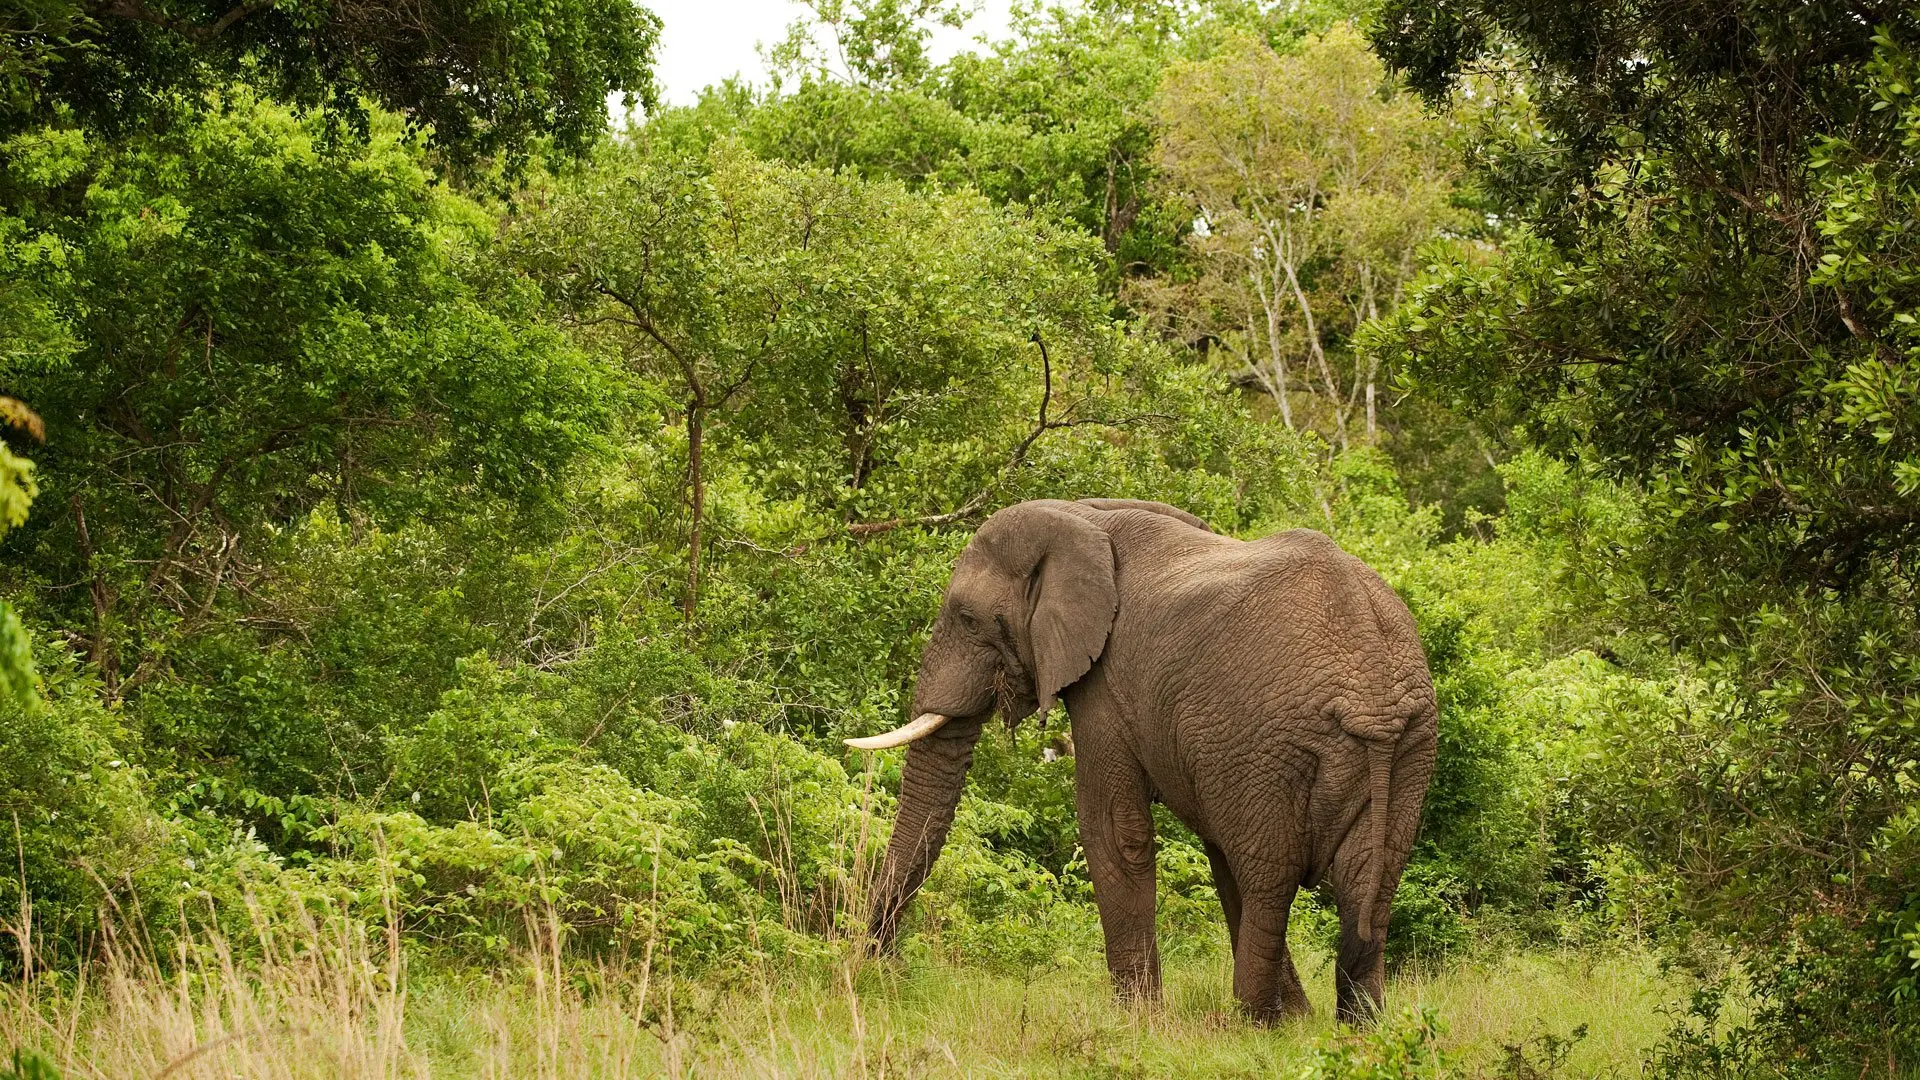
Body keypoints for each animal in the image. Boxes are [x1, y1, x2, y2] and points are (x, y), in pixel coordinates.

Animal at [846, 498, 1437, 1024]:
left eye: (968, 619)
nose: (882, 965)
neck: (1081, 515)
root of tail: (1372, 684)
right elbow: (1210, 848)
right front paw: (1293, 1018)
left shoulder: (1104, 685)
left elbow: (1112, 829)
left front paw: (1135, 1021)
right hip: (1405, 748)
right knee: (1367, 880)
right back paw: (1356, 1027)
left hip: (1270, 744)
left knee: (1269, 876)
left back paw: (1247, 1023)